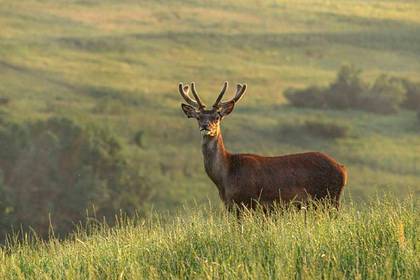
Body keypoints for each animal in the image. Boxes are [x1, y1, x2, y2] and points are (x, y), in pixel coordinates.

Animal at [179, 81, 346, 212]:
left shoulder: (248, 201)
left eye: (217, 117)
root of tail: (343, 170)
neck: (225, 177)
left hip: (328, 197)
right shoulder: (230, 205)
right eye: (198, 117)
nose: (206, 126)